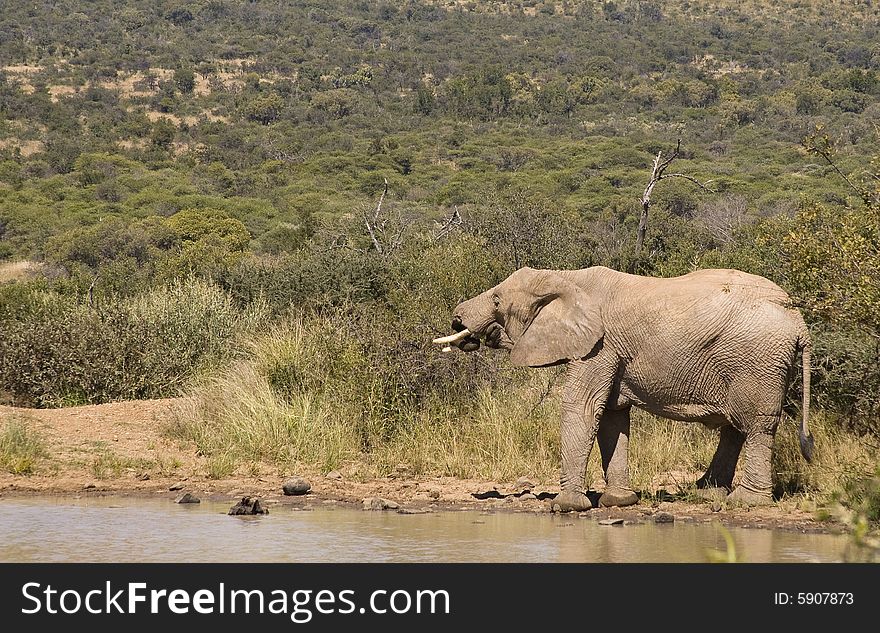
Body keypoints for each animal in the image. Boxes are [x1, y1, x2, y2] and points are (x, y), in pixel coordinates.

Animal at [434, 266, 812, 508]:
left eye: (497, 300)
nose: (457, 319)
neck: (566, 277)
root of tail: (798, 320)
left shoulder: (599, 347)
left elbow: (582, 407)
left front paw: (567, 506)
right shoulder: (611, 352)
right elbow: (612, 416)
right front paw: (620, 501)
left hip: (757, 362)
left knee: (757, 426)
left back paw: (746, 502)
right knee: (734, 428)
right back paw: (707, 494)